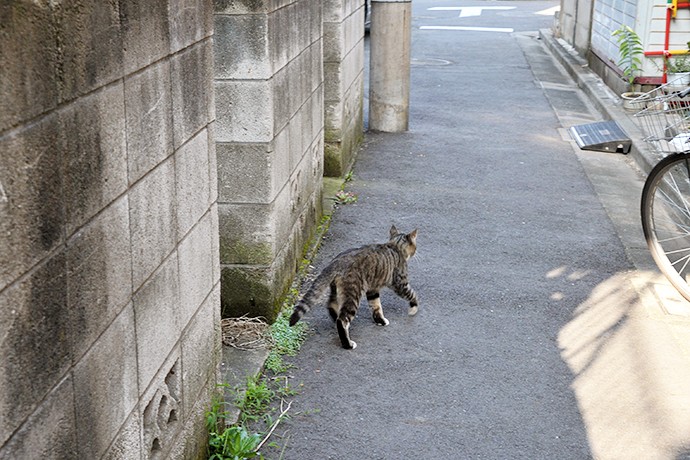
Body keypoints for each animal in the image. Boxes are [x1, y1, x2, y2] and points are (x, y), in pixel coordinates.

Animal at [288, 226, 416, 348]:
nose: (415, 250)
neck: (395, 246)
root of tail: (336, 261)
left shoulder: (372, 289)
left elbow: (376, 306)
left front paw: (380, 320)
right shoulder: (400, 283)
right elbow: (412, 294)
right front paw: (413, 308)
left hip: (336, 289)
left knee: (332, 305)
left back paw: (337, 321)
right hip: (353, 294)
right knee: (342, 320)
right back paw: (347, 344)